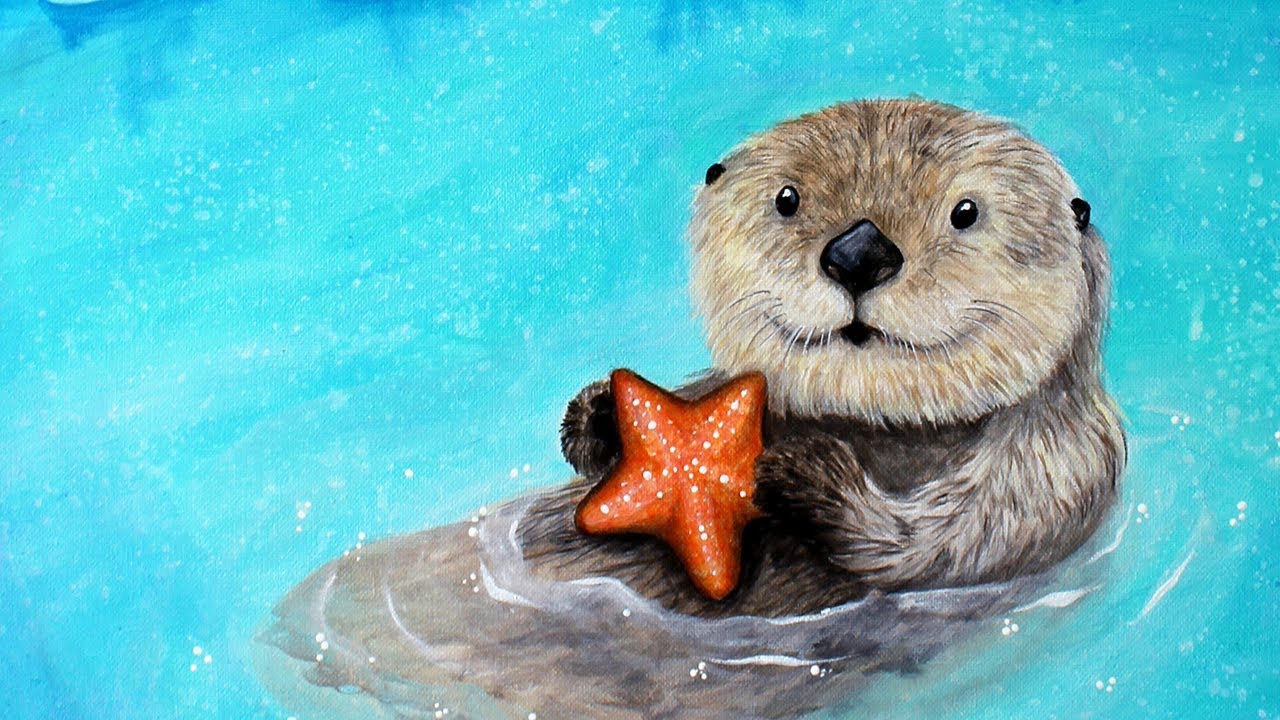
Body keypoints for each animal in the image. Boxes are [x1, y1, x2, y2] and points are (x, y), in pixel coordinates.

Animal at [525, 98, 1126, 617]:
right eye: (787, 199)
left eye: (966, 211)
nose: (859, 252)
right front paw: (600, 415)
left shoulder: (1057, 465)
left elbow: (945, 542)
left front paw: (805, 474)